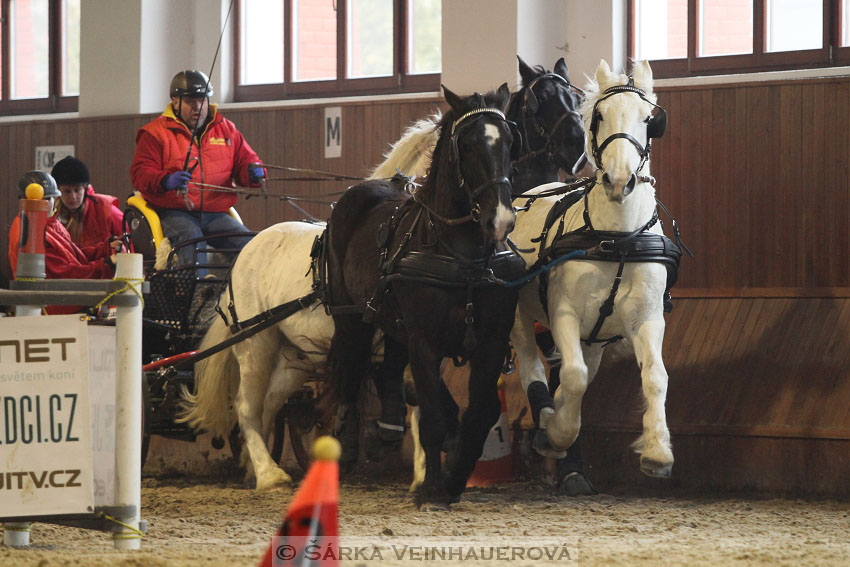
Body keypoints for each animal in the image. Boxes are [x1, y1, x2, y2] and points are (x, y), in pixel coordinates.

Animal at [326, 84, 520, 510]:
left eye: (509, 140)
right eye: (466, 144)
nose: (500, 219)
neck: (463, 255)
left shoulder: (491, 343)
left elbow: (479, 414)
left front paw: (454, 478)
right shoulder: (425, 340)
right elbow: (431, 416)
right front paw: (432, 488)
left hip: (393, 321)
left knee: (389, 368)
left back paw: (388, 428)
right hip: (350, 316)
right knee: (349, 371)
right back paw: (344, 448)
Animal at [510, 60, 676, 480]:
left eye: (650, 119)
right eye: (600, 116)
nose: (619, 180)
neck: (616, 240)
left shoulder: (647, 318)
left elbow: (655, 376)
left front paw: (657, 450)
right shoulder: (564, 313)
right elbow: (573, 375)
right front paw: (558, 432)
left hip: (595, 338)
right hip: (515, 312)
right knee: (530, 361)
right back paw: (546, 419)